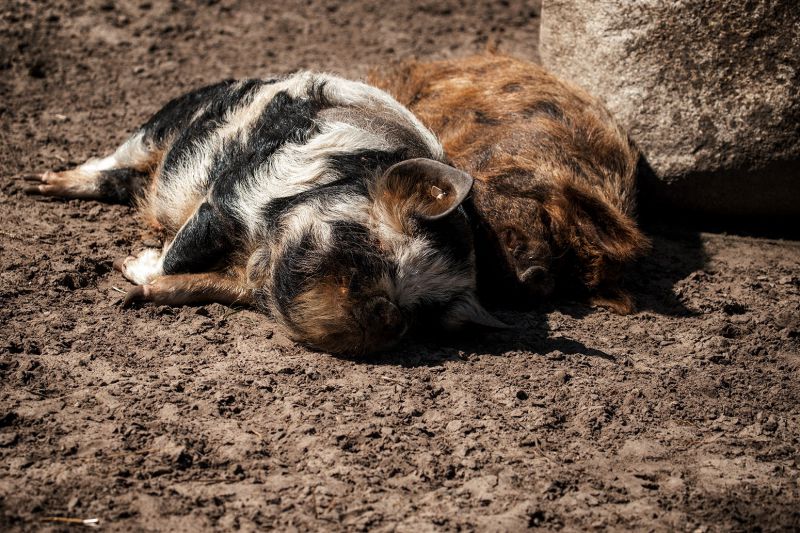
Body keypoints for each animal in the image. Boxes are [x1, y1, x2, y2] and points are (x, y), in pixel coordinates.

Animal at [26, 70, 506, 354]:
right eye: (372, 251)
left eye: (421, 314)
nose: (390, 316)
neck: (263, 254)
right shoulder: (227, 201)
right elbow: (179, 253)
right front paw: (130, 264)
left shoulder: (241, 284)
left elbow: (194, 283)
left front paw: (132, 292)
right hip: (162, 125)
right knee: (115, 159)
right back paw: (37, 184)